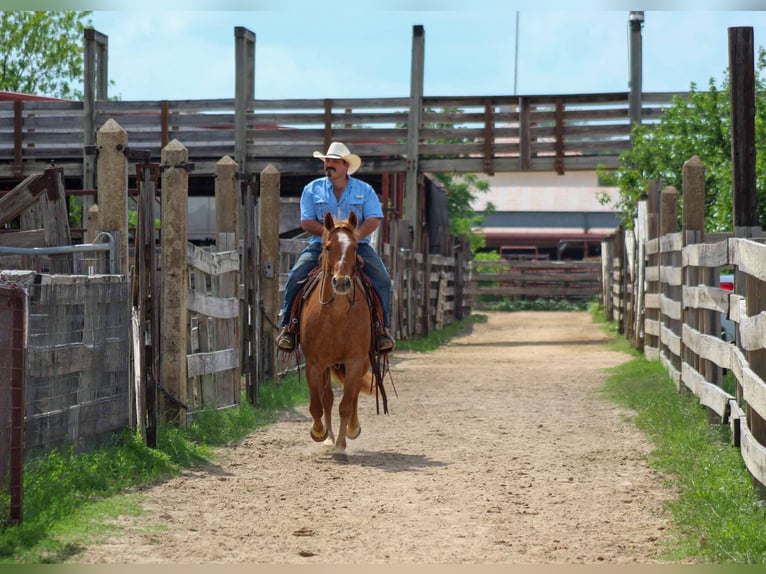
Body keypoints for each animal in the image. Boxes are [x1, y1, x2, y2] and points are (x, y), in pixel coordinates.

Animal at [299, 211, 382, 455]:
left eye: (354, 247)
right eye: (328, 247)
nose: (342, 282)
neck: (336, 316)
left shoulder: (355, 361)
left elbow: (346, 404)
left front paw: (341, 446)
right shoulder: (314, 364)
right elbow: (318, 405)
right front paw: (320, 433)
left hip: (362, 361)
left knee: (352, 396)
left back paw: (352, 429)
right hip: (327, 366)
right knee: (327, 399)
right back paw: (328, 437)